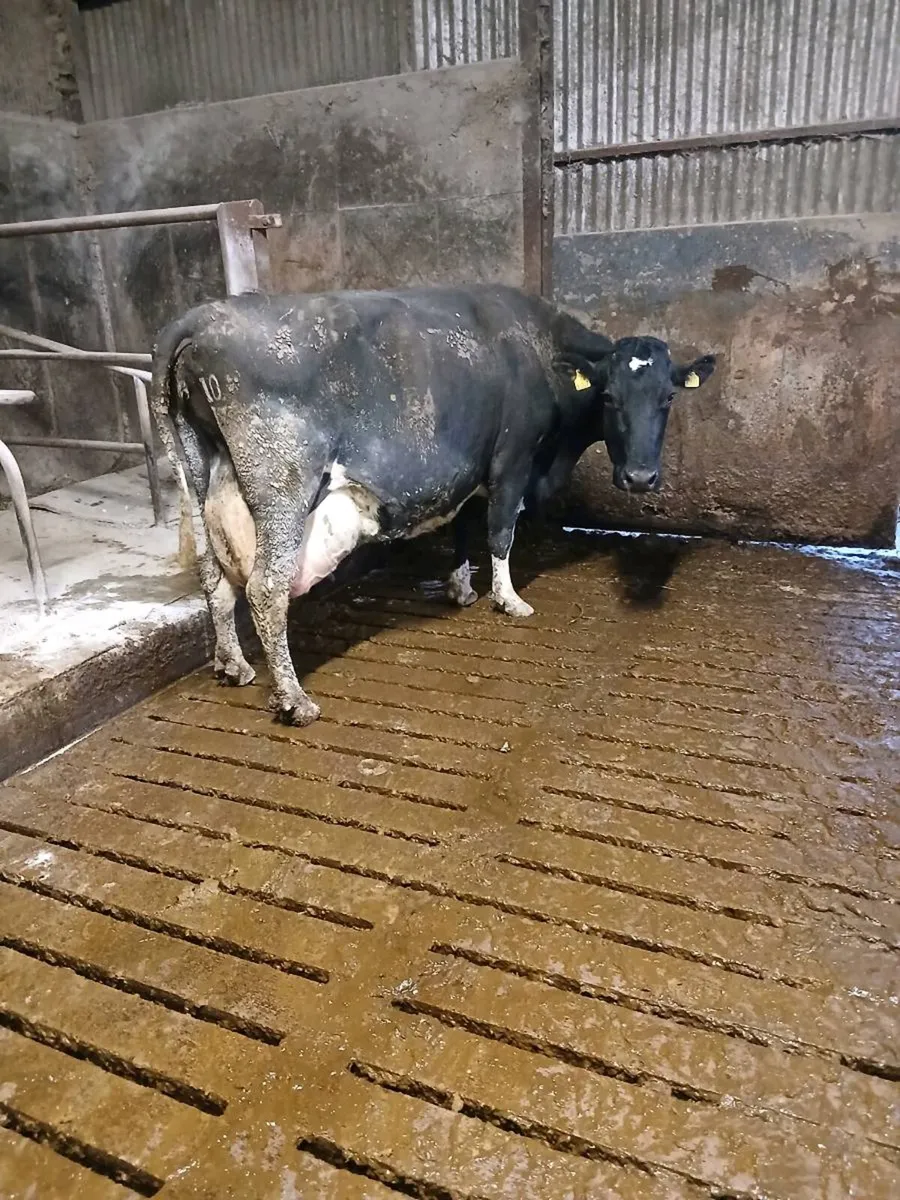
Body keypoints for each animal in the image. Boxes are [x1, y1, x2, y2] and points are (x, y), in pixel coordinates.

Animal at [151, 284, 715, 726]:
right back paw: (294, 700)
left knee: (213, 577)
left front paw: (461, 588)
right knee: (266, 589)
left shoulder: (469, 469)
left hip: (199, 476)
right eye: (610, 398)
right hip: (282, 485)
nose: (640, 477)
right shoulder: (512, 459)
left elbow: (463, 526)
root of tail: (197, 319)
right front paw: (508, 600)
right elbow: (500, 529)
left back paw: (233, 666)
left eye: (667, 398)